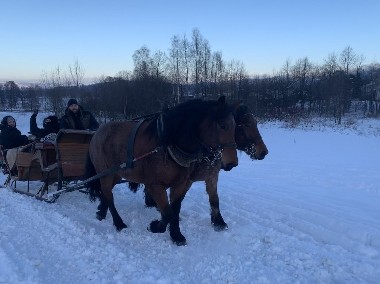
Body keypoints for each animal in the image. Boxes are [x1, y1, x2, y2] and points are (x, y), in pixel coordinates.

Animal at [87, 96, 239, 245]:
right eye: (223, 125)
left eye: (235, 126)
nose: (232, 163)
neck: (167, 146)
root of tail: (97, 132)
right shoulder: (154, 185)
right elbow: (167, 212)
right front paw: (155, 226)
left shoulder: (181, 184)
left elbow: (175, 209)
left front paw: (176, 235)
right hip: (106, 174)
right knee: (109, 195)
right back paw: (118, 223)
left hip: (116, 174)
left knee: (105, 192)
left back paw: (101, 211)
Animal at [140, 102, 268, 231]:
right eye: (246, 124)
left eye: (255, 123)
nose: (264, 152)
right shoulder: (186, 180)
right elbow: (176, 199)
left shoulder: (212, 176)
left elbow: (214, 199)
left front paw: (218, 222)